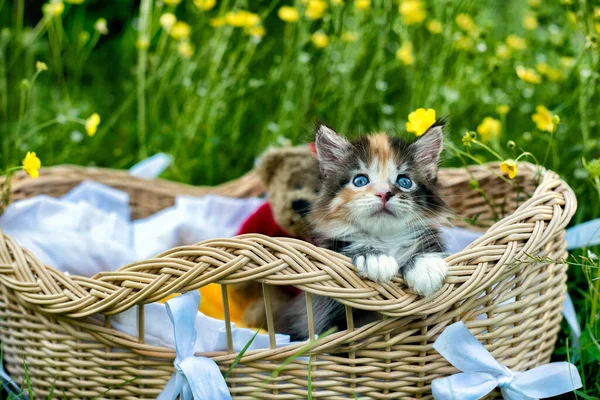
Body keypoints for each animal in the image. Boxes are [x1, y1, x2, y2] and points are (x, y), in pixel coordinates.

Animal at [274, 122, 448, 340]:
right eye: (360, 181)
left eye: (404, 181)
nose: (384, 193)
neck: (385, 239)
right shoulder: (326, 305)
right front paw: (375, 258)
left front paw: (426, 267)